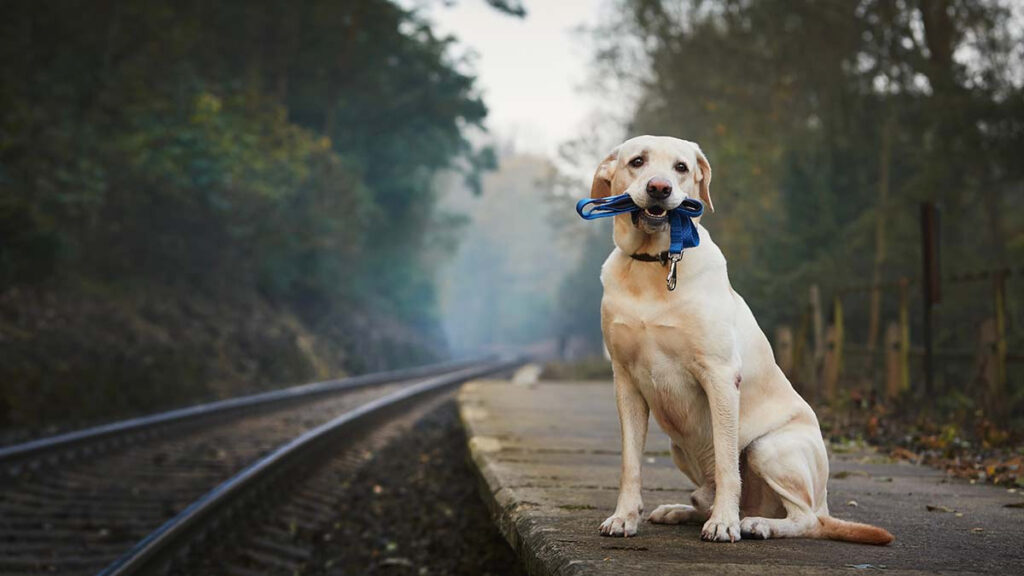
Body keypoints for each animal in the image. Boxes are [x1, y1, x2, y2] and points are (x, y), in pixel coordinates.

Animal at [598, 134, 892, 541]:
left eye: (681, 167)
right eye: (637, 162)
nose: (660, 188)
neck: (654, 264)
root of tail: (826, 504)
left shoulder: (720, 376)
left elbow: (726, 463)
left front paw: (724, 523)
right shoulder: (625, 380)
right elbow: (630, 463)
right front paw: (624, 517)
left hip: (769, 448)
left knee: (805, 518)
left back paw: (755, 523)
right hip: (678, 447)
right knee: (707, 497)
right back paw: (681, 510)